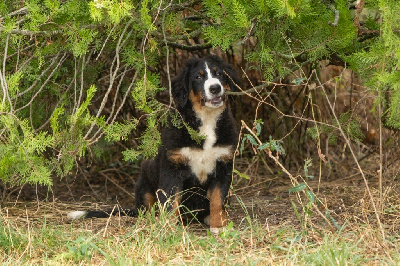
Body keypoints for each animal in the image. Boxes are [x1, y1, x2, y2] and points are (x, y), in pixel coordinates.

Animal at [67, 55, 239, 234]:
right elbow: (170, 200)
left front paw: (219, 226)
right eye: (198, 77)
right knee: (146, 208)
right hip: (145, 180)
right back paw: (154, 219)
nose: (215, 88)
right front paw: (168, 226)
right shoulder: (173, 166)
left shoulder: (223, 165)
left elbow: (218, 199)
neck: (206, 119)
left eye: (219, 74)